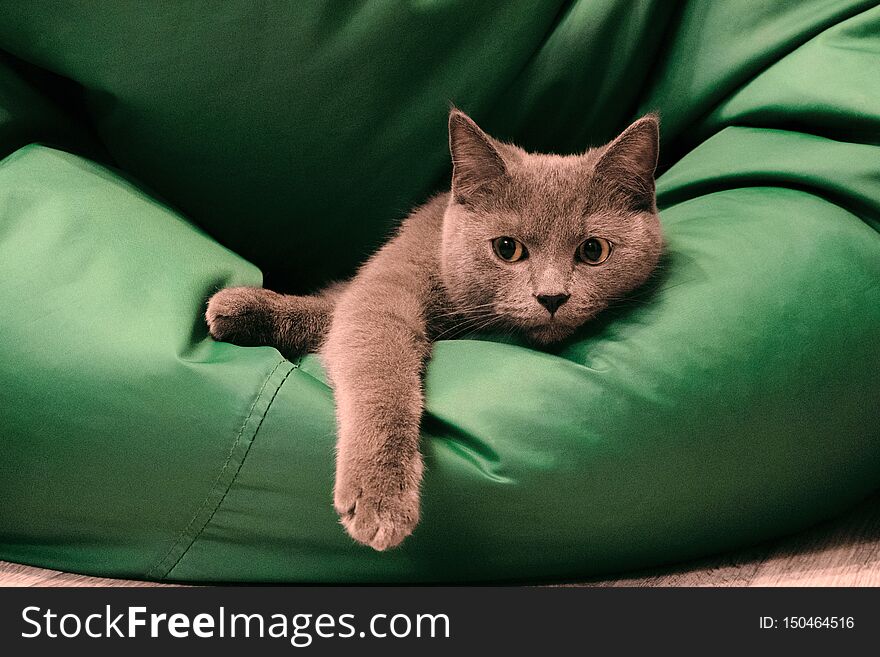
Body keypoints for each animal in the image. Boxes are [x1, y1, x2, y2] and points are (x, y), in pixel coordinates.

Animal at [205, 110, 660, 552]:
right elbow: (377, 362)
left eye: (593, 250)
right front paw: (381, 496)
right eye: (507, 248)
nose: (552, 297)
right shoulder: (389, 284)